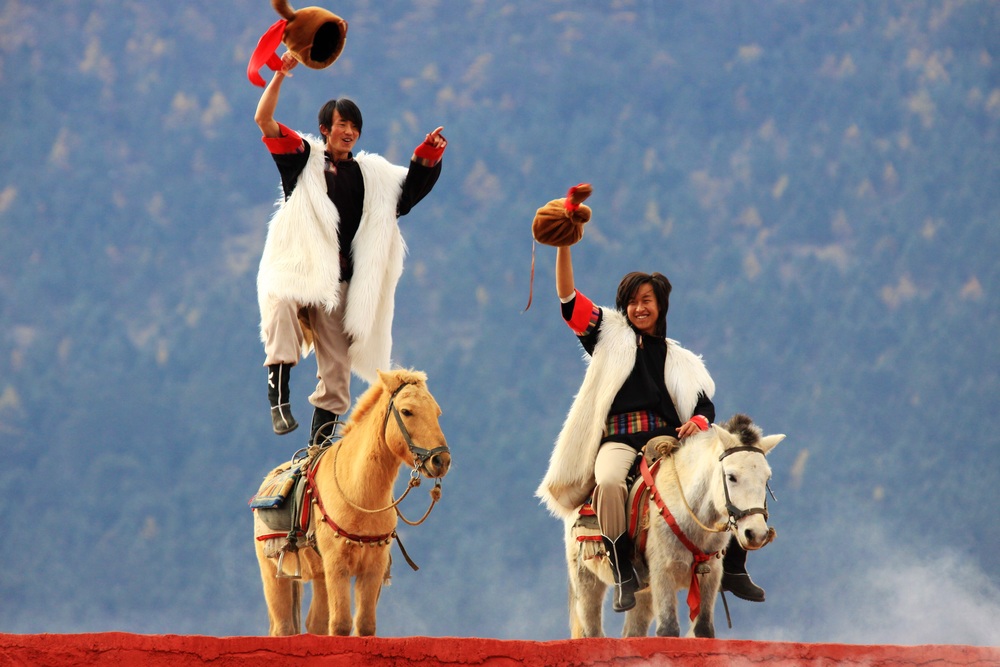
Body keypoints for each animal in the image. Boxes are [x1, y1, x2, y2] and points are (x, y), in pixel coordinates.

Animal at [253, 368, 451, 636]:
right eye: (407, 411)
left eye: (437, 412)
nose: (442, 460)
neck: (359, 494)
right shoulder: (337, 565)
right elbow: (341, 624)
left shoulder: (373, 567)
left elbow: (365, 625)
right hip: (273, 572)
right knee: (284, 627)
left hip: (319, 576)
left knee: (315, 623)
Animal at [565, 414, 784, 638]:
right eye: (731, 476)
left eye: (766, 478)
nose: (756, 534)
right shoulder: (663, 572)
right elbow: (668, 629)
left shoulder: (711, 574)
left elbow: (703, 630)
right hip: (586, 578)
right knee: (592, 628)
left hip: (644, 592)